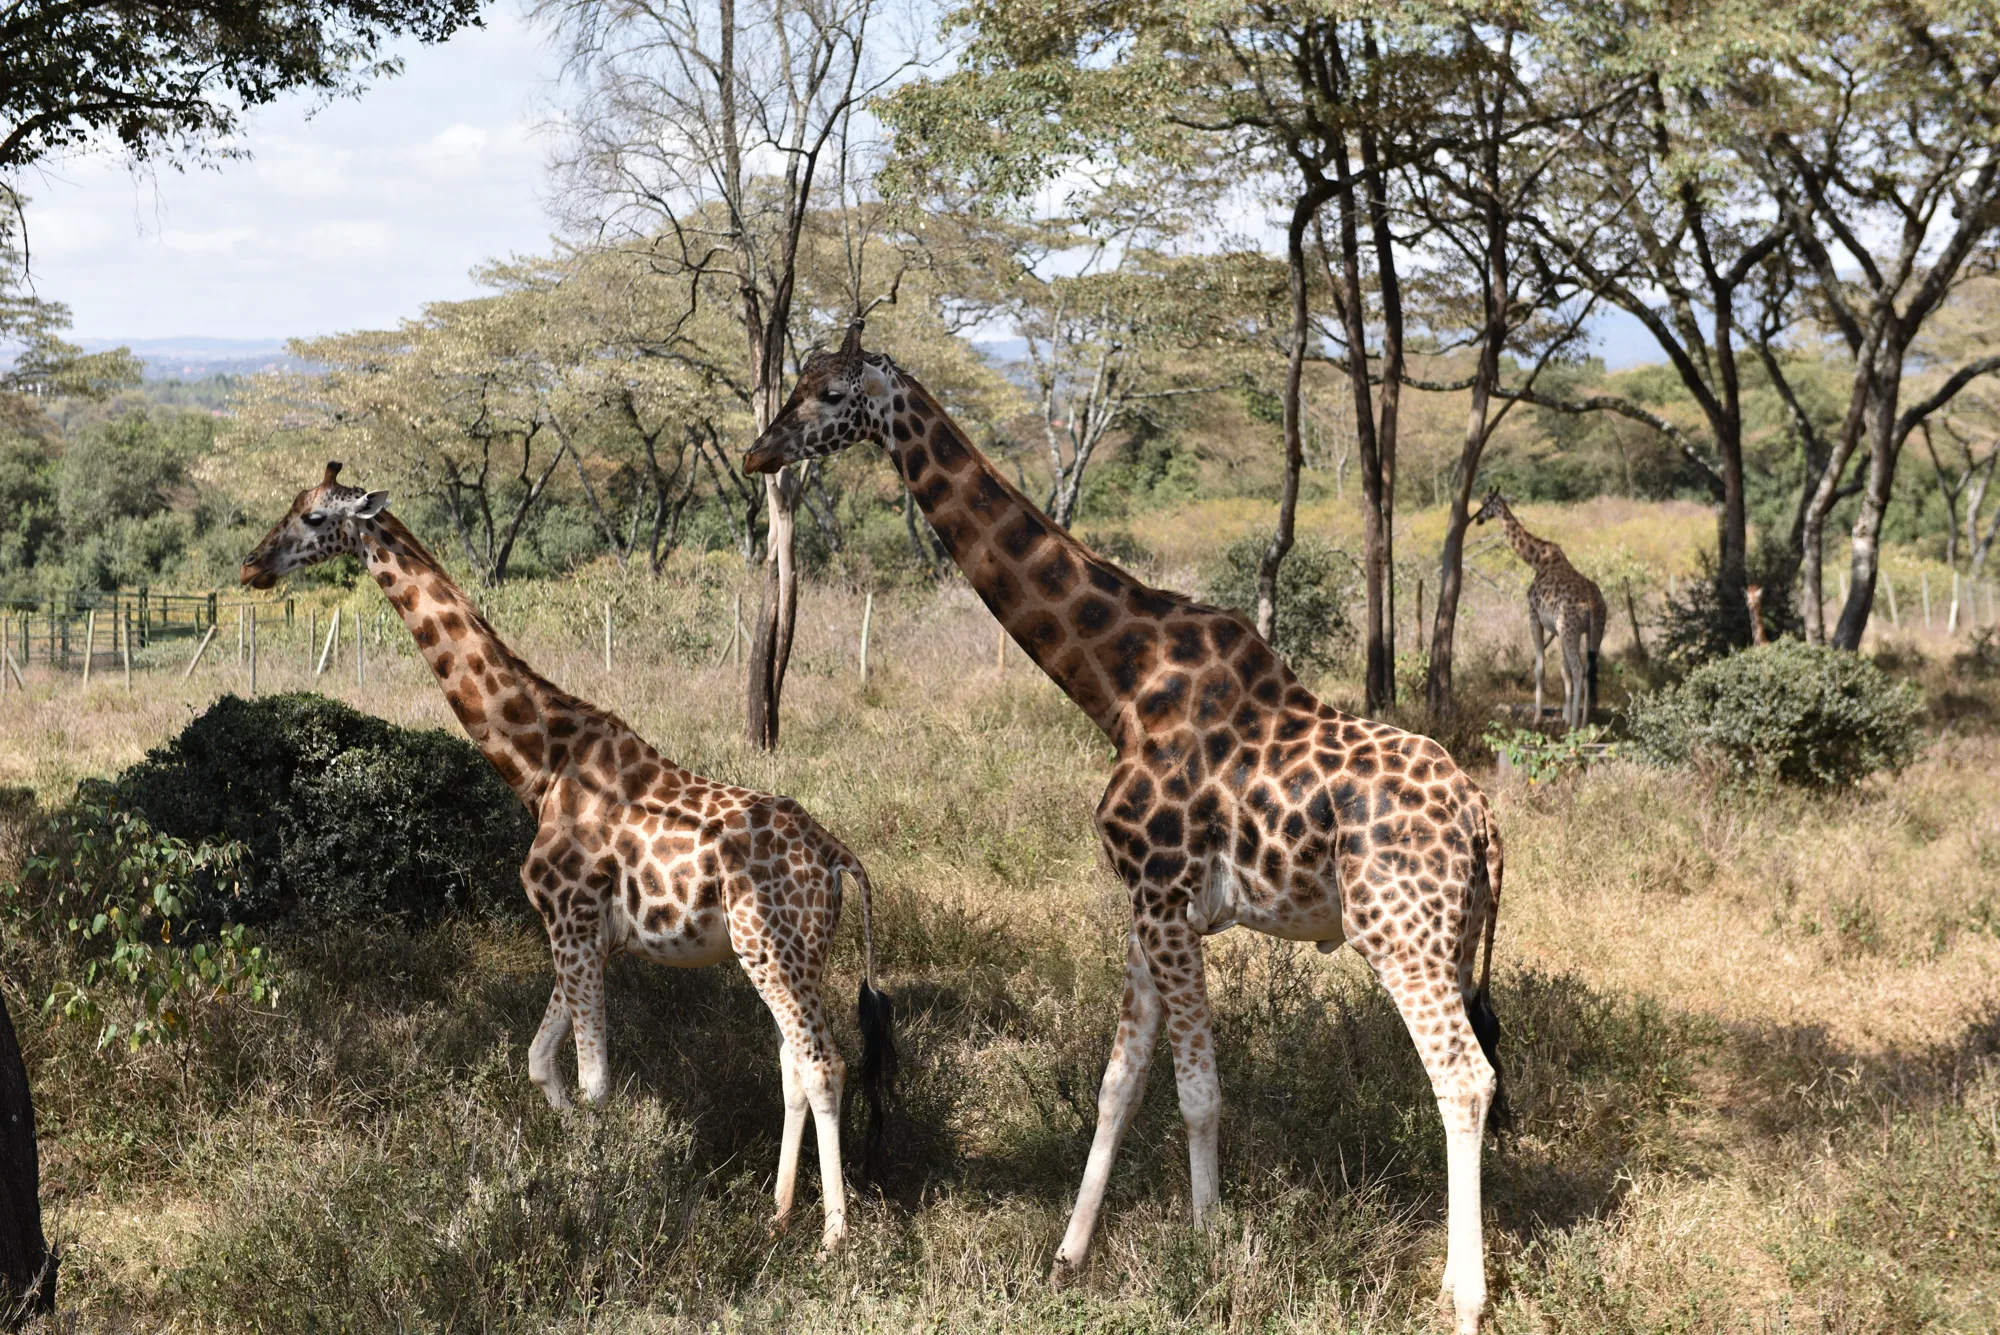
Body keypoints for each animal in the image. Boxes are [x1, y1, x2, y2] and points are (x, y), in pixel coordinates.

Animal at [240, 463, 892, 1249]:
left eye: (312, 518)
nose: (250, 566)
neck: (541, 761)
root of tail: (838, 857)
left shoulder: (570, 918)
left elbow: (593, 1080)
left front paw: (606, 1201)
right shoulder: (586, 934)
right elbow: (539, 1063)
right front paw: (581, 1163)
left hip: (774, 946)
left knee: (823, 1064)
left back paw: (833, 1237)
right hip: (786, 953)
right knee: (793, 1065)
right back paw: (779, 1209)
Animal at [743, 325, 1507, 1334]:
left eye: (830, 394)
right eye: (795, 381)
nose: (758, 453)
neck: (1120, 682)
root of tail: (1484, 822)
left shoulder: (1169, 898)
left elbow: (1197, 1091)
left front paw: (1211, 1247)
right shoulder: (1148, 904)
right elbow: (1119, 1083)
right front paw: (1070, 1253)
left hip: (1402, 936)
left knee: (1464, 1076)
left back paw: (1466, 1298)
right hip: (1450, 940)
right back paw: (1453, 1281)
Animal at [1472, 490, 1607, 730]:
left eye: (1484, 502)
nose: (1478, 519)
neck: (1536, 560)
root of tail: (1592, 602)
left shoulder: (1534, 616)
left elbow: (1541, 669)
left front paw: (1538, 718)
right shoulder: (1559, 630)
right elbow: (1563, 672)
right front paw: (1564, 715)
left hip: (1570, 630)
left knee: (1579, 670)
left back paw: (1575, 725)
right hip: (1593, 630)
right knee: (1590, 669)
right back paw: (1584, 721)